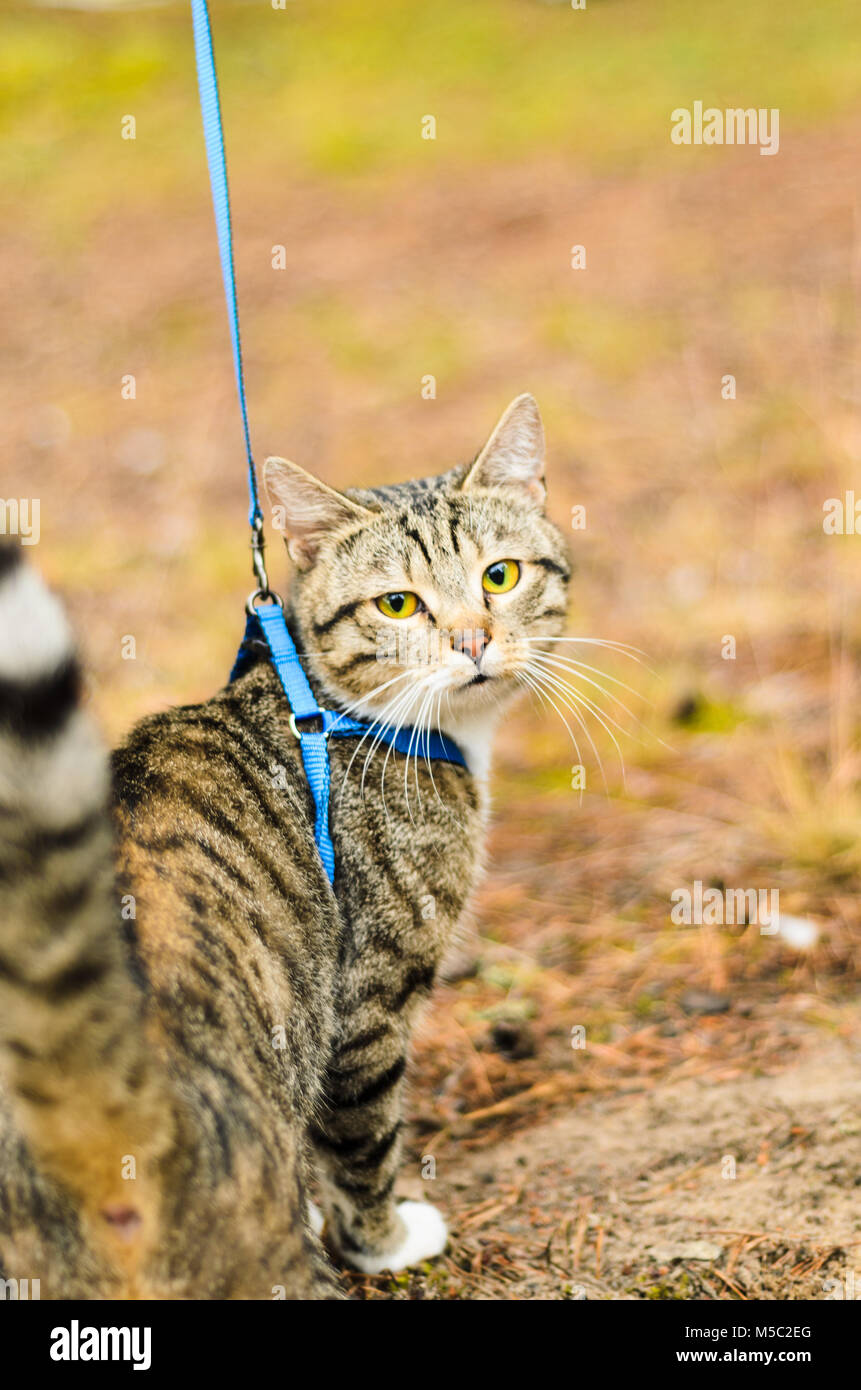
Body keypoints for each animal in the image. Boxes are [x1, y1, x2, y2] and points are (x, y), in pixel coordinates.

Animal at [0, 397, 573, 1295]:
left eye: (499, 577)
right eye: (397, 605)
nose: (473, 641)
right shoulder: (366, 1006)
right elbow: (364, 1149)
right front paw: (385, 1239)